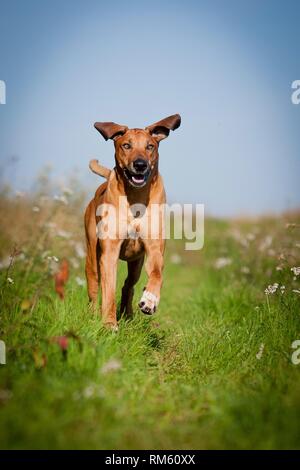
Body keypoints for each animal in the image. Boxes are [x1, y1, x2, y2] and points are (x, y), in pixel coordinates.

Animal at [84, 114, 180, 328]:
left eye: (150, 146)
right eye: (126, 145)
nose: (140, 164)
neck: (135, 197)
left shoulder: (154, 248)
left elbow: (157, 274)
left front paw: (150, 300)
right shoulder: (109, 251)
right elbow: (108, 290)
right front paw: (109, 324)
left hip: (136, 262)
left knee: (129, 285)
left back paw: (128, 314)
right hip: (92, 255)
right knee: (94, 287)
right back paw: (94, 315)